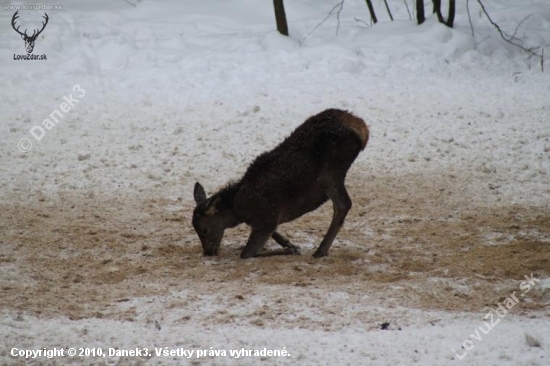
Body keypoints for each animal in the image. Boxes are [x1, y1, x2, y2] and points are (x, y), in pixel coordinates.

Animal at [194, 108, 370, 258]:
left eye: (204, 230)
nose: (208, 253)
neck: (239, 212)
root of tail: (362, 129)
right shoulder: (268, 220)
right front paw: (289, 244)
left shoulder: (266, 217)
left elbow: (247, 254)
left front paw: (290, 249)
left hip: (330, 171)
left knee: (343, 204)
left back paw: (320, 251)